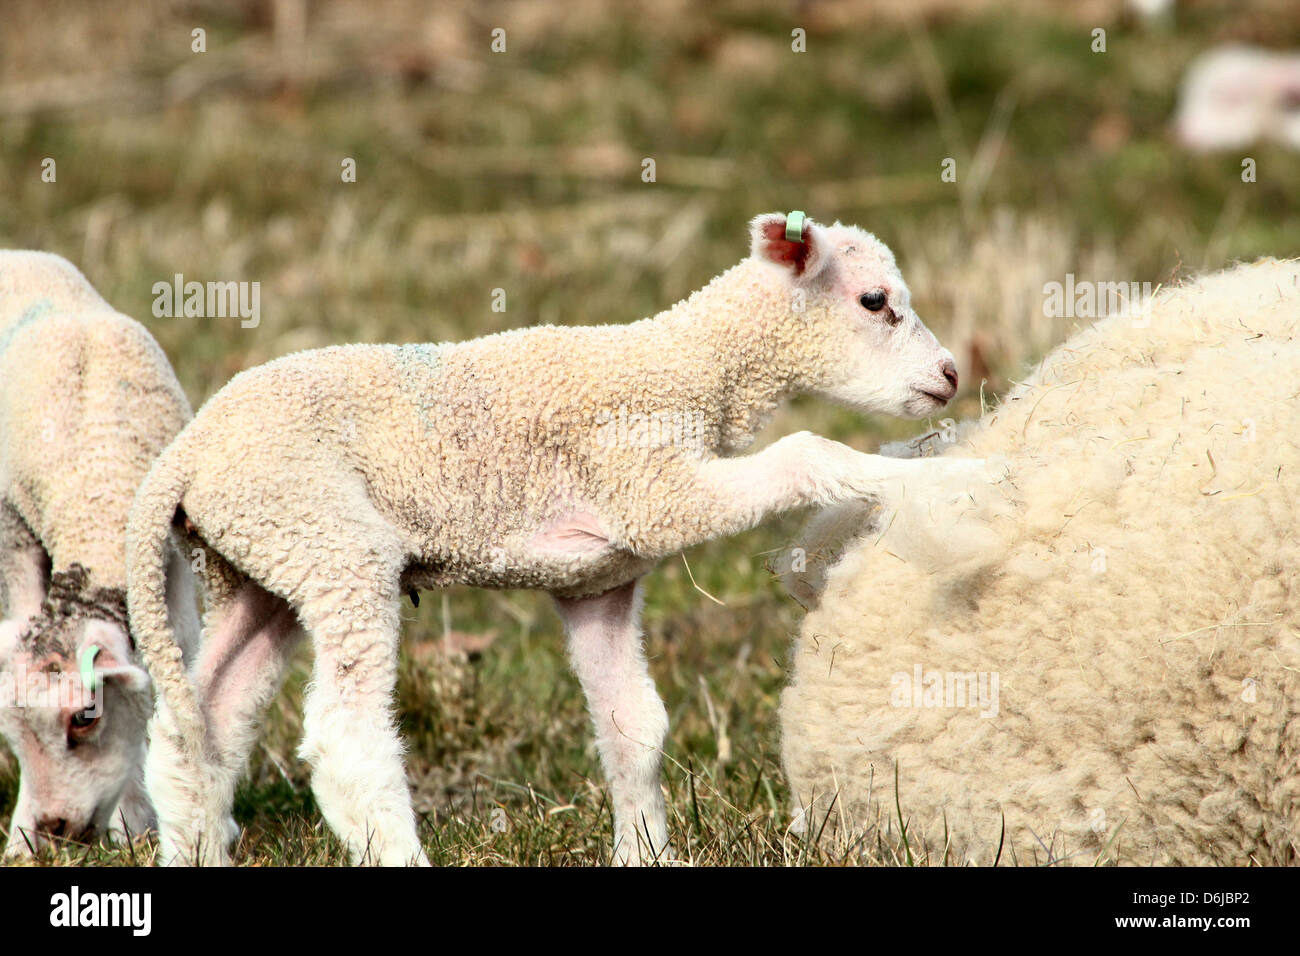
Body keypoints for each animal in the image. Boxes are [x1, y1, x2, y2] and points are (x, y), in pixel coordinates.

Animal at [124, 210, 993, 868]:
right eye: (875, 300)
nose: (951, 375)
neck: (689, 371)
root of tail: (185, 457)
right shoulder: (653, 490)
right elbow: (808, 452)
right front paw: (940, 484)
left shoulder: (600, 581)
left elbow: (633, 727)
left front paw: (646, 853)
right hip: (326, 538)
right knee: (344, 739)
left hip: (254, 562)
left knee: (200, 723)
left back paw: (194, 847)